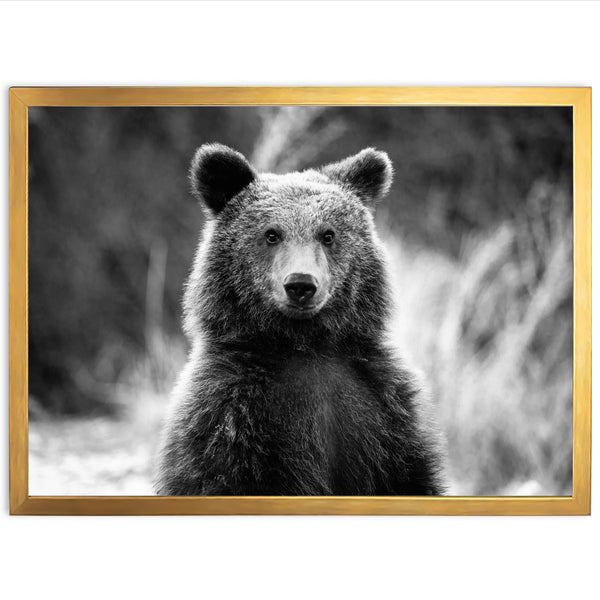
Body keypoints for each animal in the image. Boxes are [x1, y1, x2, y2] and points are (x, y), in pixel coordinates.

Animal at [155, 143, 446, 494]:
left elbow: (409, 476)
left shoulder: (383, 411)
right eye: (271, 234)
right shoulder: (228, 416)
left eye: (328, 234)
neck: (305, 345)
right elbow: (219, 475)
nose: (301, 284)